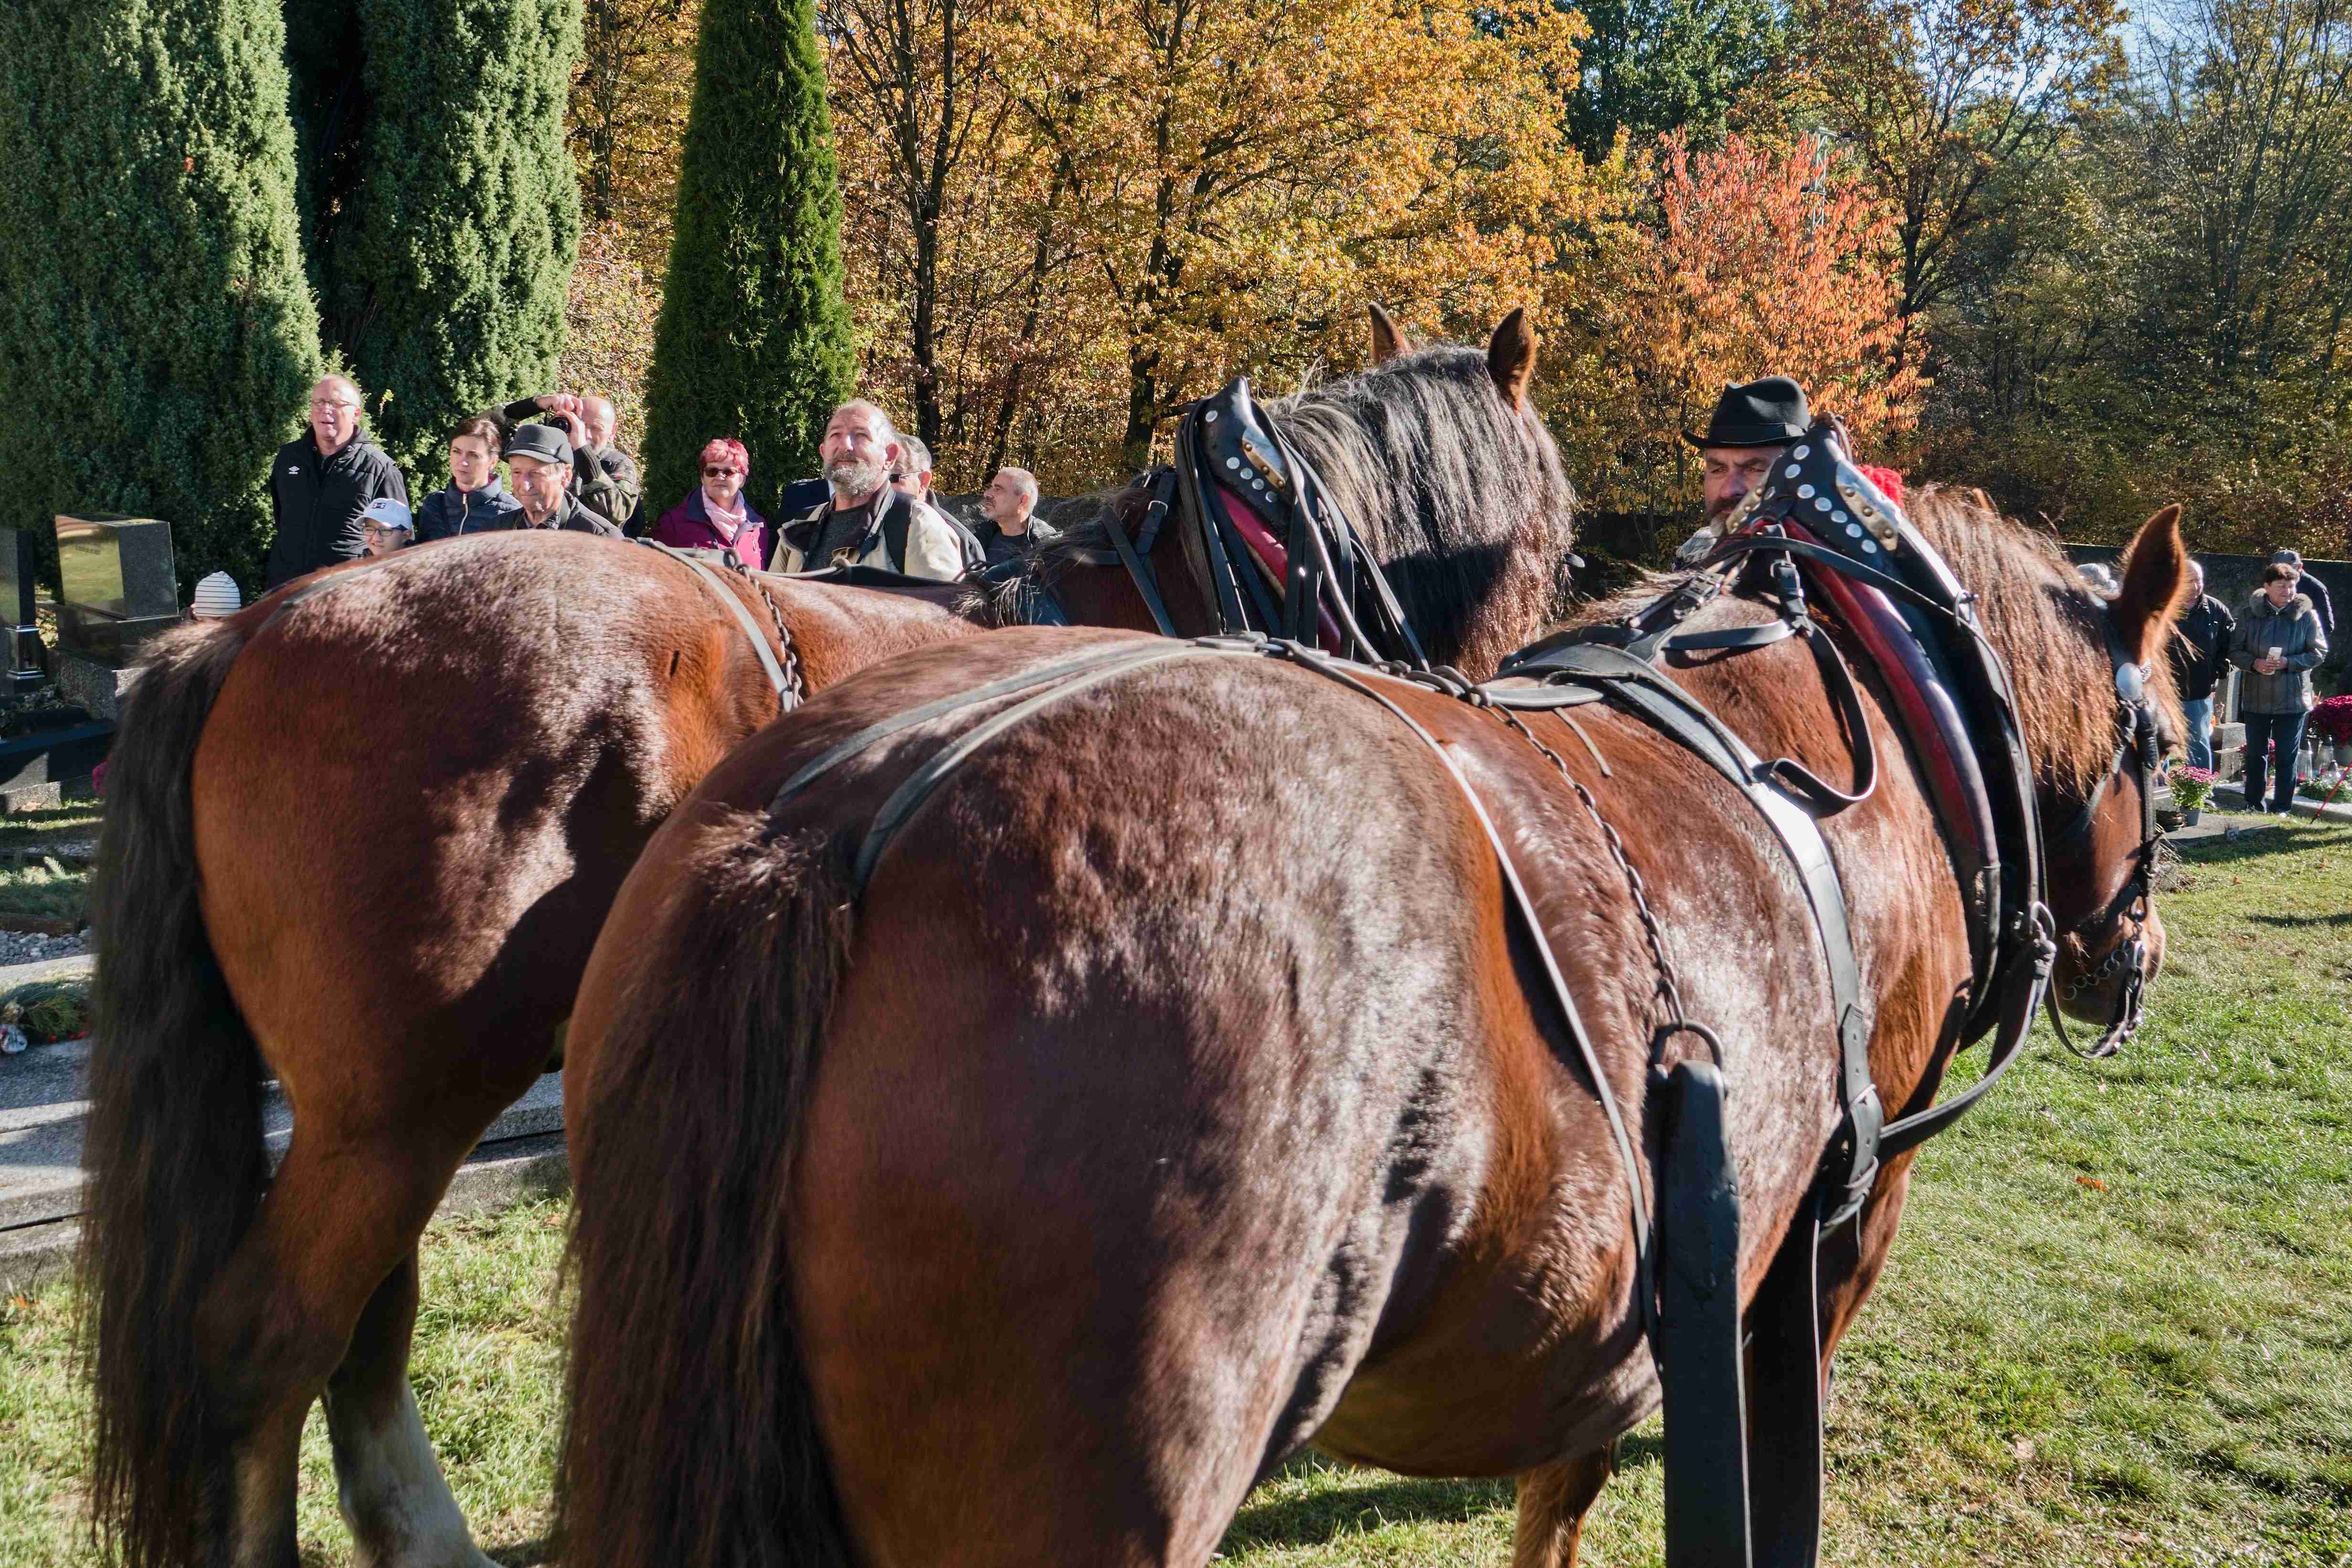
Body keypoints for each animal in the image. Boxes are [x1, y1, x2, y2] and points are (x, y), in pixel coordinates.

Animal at [83, 310, 1571, 1568]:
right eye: (1555, 534)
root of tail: (250, 627)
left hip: (378, 1106)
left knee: (361, 1327)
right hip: (389, 1105)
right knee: (266, 1341)